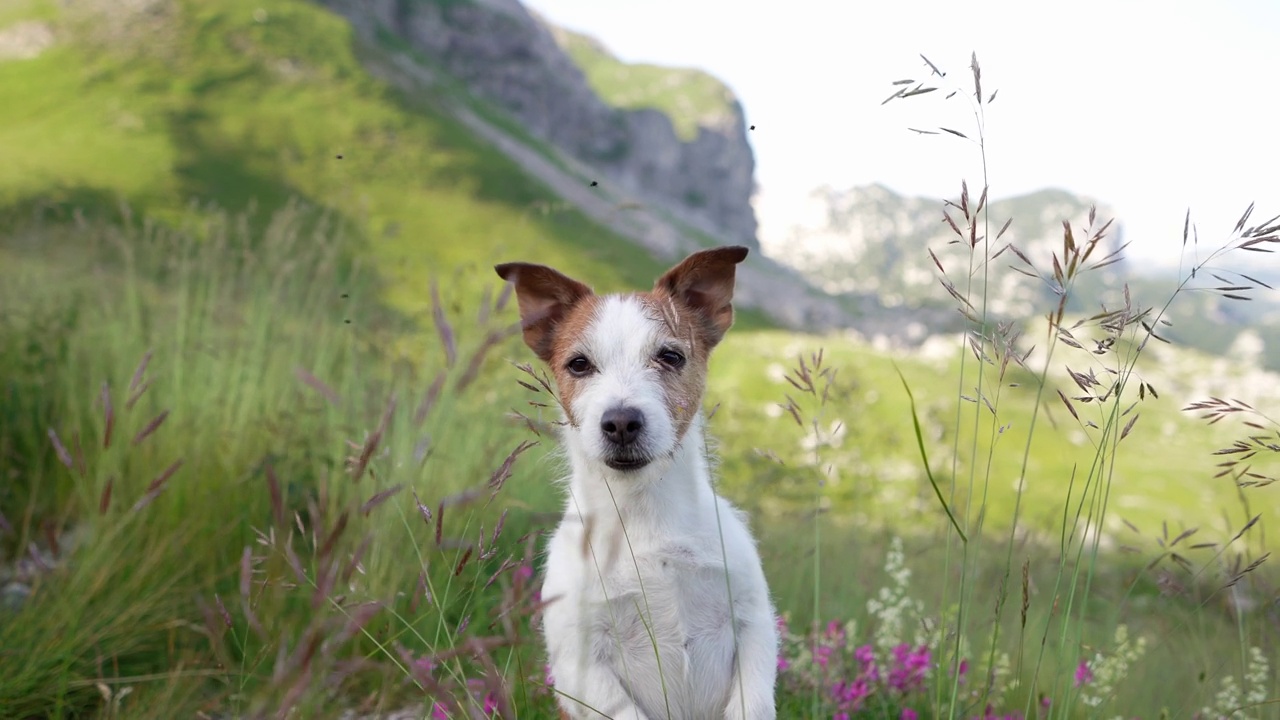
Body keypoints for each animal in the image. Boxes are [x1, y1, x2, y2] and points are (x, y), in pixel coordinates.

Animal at [494, 243, 778, 712]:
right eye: (579, 364)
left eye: (670, 356)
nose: (622, 422)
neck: (644, 514)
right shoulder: (581, 666)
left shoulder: (754, 625)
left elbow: (752, 702)